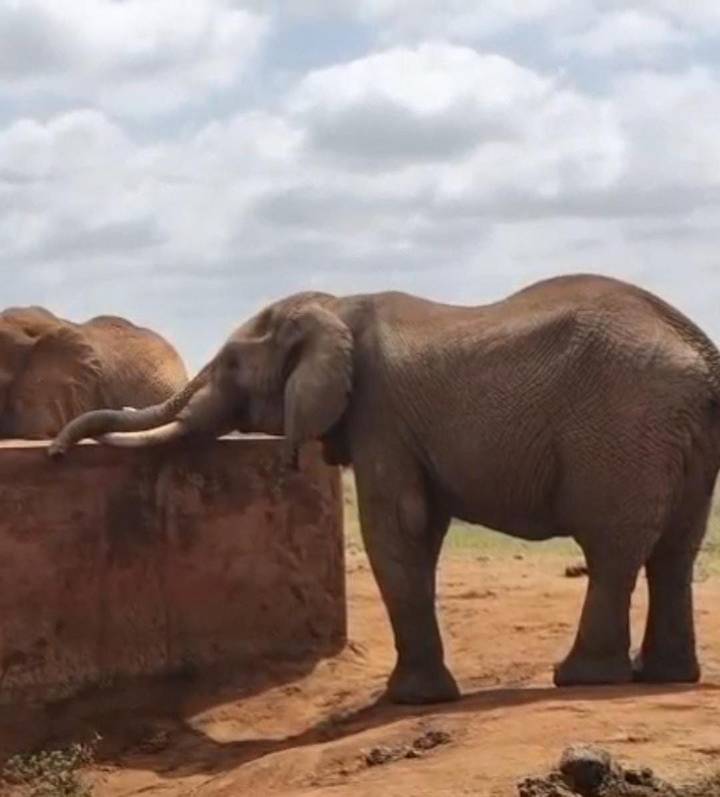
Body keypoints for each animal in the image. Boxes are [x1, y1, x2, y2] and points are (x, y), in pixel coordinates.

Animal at [48, 274, 720, 705]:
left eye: (234, 366)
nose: (54, 452)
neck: (334, 306)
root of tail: (702, 356)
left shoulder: (380, 415)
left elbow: (397, 526)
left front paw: (409, 702)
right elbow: (416, 527)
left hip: (621, 428)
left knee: (612, 551)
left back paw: (582, 679)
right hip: (680, 436)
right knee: (674, 553)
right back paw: (663, 677)